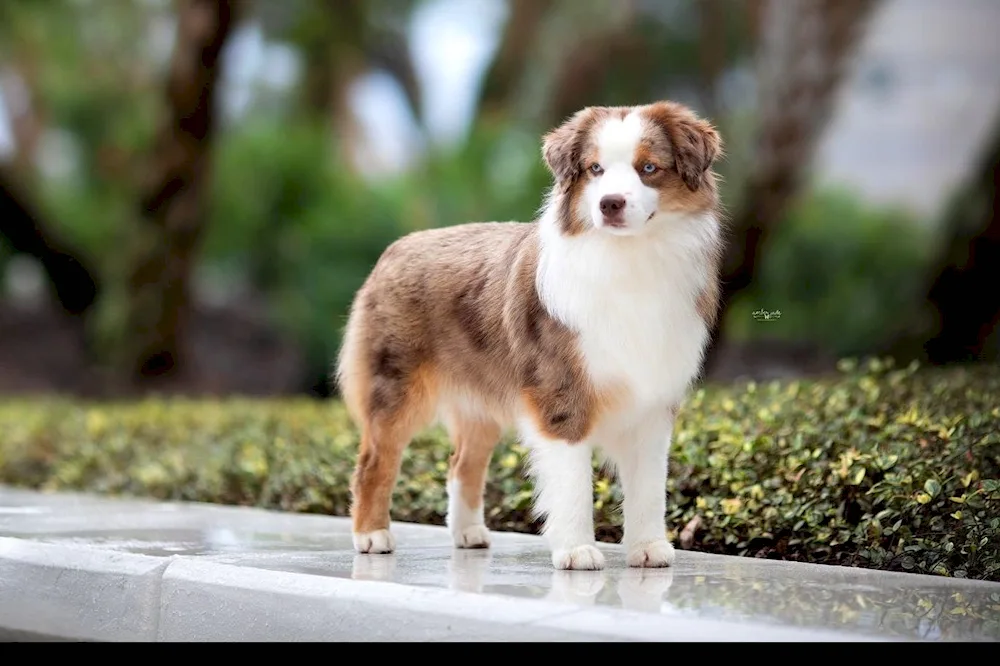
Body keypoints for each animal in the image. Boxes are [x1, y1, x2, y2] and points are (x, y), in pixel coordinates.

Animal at [340, 101, 724, 568]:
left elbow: (649, 485)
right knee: (374, 462)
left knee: (462, 463)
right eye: (595, 169)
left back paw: (468, 533)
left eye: (648, 167)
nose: (610, 204)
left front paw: (648, 548)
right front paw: (577, 550)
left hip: (479, 401)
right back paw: (371, 535)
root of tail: (395, 248)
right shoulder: (560, 394)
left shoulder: (653, 399)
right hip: (396, 389)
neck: (629, 258)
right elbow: (573, 484)